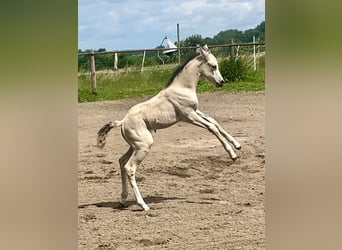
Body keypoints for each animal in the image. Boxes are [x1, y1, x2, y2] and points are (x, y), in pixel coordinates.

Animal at [96, 45, 240, 211]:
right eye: (213, 66)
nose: (221, 82)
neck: (182, 87)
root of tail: (123, 121)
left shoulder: (195, 111)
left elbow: (214, 122)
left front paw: (237, 145)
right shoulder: (188, 115)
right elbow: (211, 127)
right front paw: (232, 154)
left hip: (135, 145)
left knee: (121, 161)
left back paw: (123, 199)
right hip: (144, 146)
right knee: (130, 168)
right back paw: (143, 205)